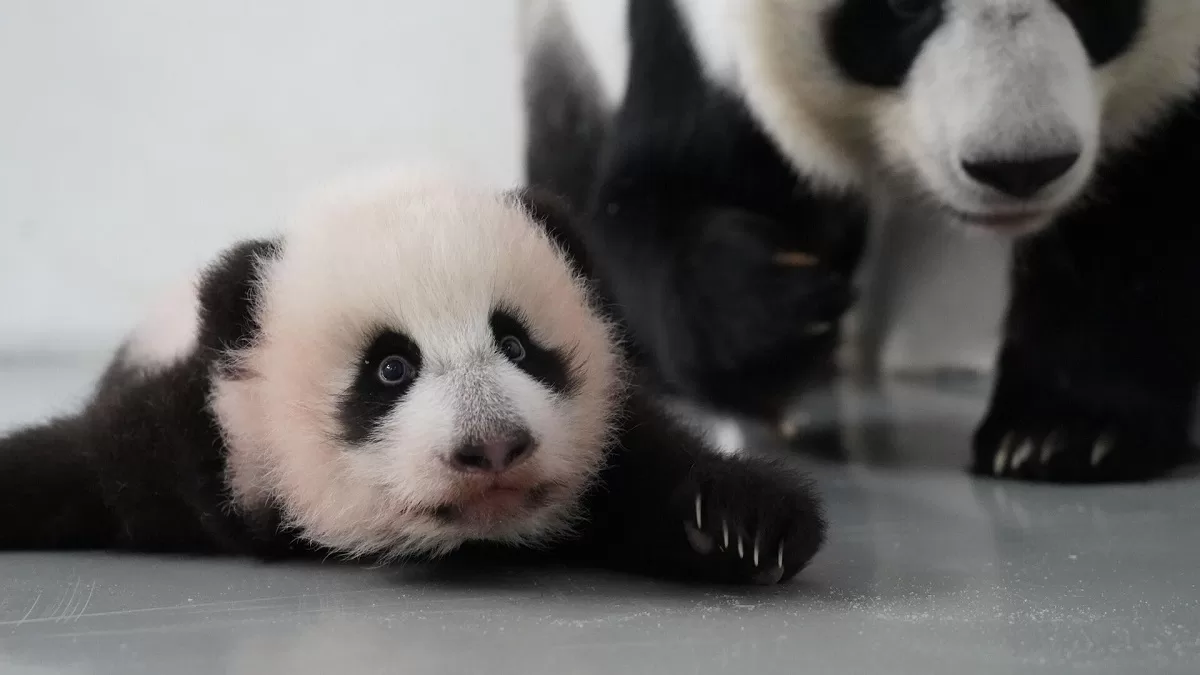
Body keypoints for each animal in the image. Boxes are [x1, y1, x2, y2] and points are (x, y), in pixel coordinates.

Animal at [0, 169, 826, 585]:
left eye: (516, 344)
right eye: (390, 368)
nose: (493, 447)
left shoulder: (605, 432)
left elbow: (650, 466)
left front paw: (743, 521)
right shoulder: (190, 437)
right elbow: (74, 463)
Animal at [520, 0, 1200, 483]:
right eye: (901, 3)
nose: (1021, 168)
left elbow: (1141, 220)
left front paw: (1060, 431)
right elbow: (658, 193)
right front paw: (775, 311)